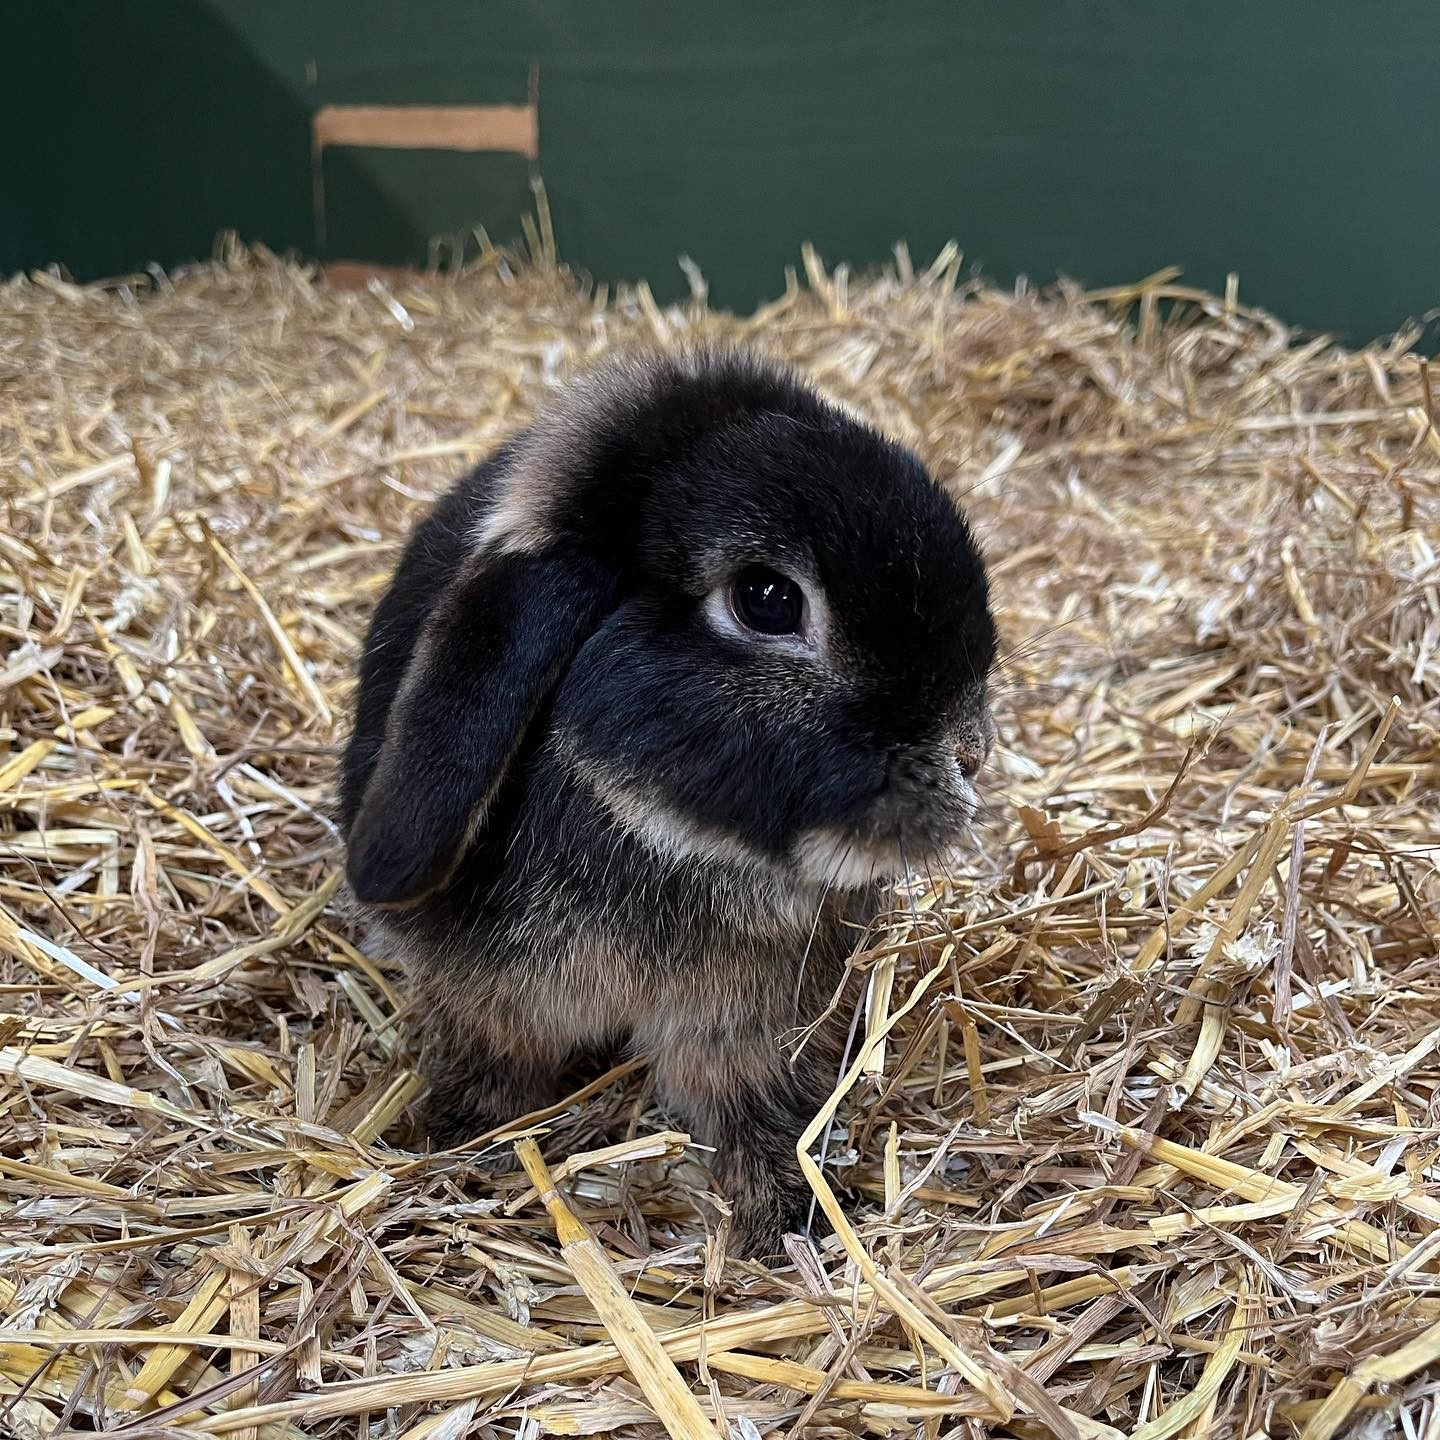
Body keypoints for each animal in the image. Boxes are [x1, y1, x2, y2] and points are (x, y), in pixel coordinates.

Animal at [339, 348, 997, 1257]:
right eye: (766, 600)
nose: (970, 752)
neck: (661, 833)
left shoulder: (744, 1033)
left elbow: (752, 1112)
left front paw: (779, 1216)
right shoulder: (485, 1004)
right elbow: (493, 1066)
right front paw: (458, 1142)